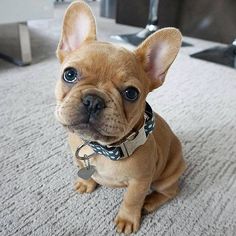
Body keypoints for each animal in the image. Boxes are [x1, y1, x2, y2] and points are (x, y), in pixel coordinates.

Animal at [54, 0, 186, 234]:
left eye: (131, 93)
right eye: (69, 74)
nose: (93, 100)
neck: (101, 148)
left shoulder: (140, 181)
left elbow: (132, 200)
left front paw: (127, 219)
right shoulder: (78, 157)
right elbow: (83, 169)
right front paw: (86, 183)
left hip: (167, 176)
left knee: (171, 191)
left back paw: (150, 202)